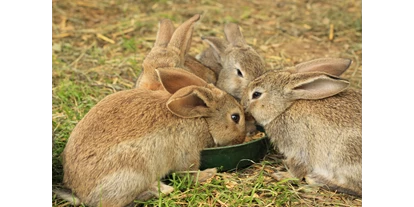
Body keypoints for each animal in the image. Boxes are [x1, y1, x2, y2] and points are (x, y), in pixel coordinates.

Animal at [53, 66, 244, 207]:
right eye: (235, 117)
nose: (241, 139)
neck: (201, 119)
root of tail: (81, 195)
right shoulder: (187, 153)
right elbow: (187, 173)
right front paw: (210, 173)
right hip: (133, 172)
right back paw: (162, 190)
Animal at [241, 57, 360, 197]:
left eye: (256, 94)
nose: (242, 103)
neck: (285, 108)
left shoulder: (299, 149)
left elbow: (298, 168)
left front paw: (282, 176)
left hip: (345, 155)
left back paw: (317, 179)